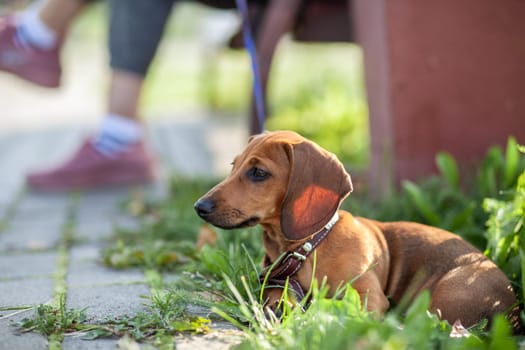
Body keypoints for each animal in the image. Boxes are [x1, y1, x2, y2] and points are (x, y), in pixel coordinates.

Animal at [195, 130, 516, 330]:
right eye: (233, 165)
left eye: (258, 173)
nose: (200, 206)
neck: (309, 247)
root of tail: (511, 307)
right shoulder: (276, 284)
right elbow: (279, 298)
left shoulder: (367, 295)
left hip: (447, 296)